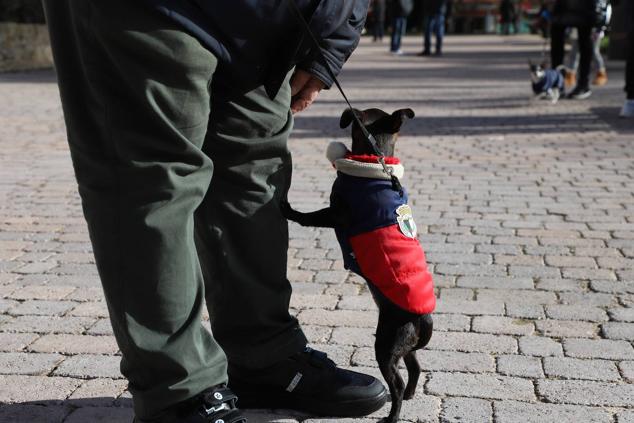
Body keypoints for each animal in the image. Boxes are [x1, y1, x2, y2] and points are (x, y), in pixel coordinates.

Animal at [280, 107, 434, 422]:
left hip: (386, 344)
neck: (377, 164)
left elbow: (311, 216)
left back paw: (393, 414)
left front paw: (289, 210)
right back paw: (411, 395)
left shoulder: (336, 213)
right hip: (403, 345)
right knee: (414, 367)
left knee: (397, 382)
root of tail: (424, 318)